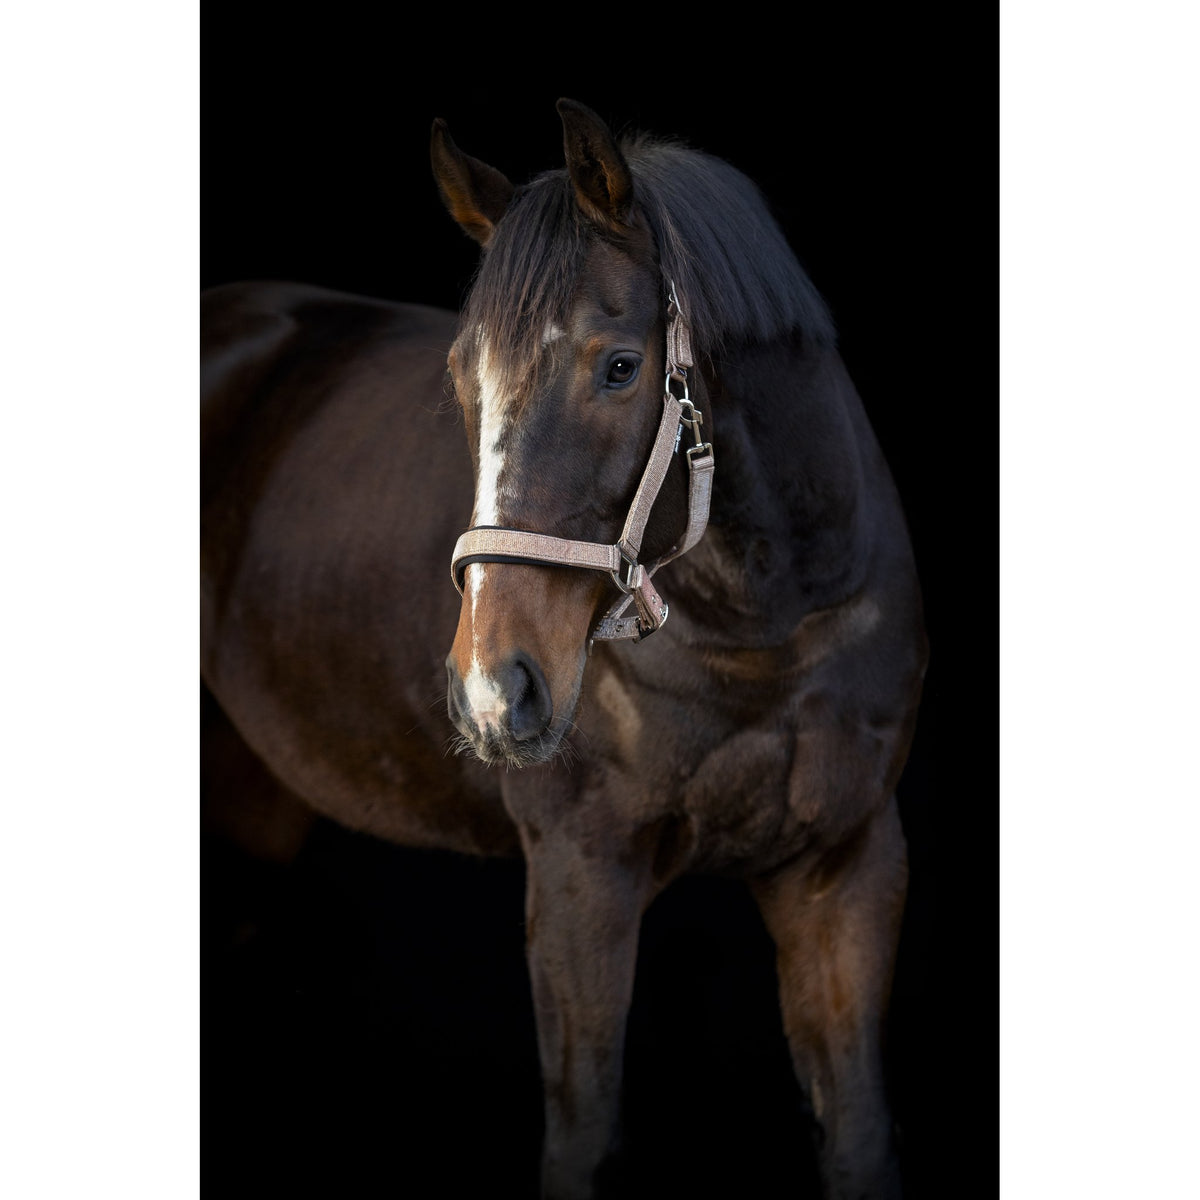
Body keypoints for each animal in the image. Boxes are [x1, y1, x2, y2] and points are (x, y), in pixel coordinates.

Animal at [201, 98, 928, 1199]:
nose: (494, 694)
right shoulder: (582, 874)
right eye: (464, 379)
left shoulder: (846, 868)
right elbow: (582, 1142)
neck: (770, 629)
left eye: (619, 366)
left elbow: (859, 1141)